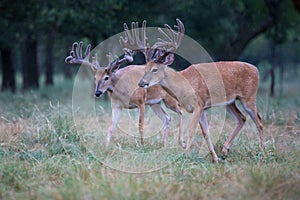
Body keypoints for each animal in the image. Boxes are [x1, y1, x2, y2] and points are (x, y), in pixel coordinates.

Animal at [120, 18, 264, 162]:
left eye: (155, 70)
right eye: (145, 69)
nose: (141, 83)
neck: (184, 83)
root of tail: (256, 69)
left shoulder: (199, 104)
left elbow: (191, 131)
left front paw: (186, 155)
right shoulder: (200, 108)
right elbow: (206, 132)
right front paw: (215, 158)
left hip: (249, 97)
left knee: (259, 121)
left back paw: (262, 153)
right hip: (230, 102)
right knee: (242, 118)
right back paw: (224, 151)